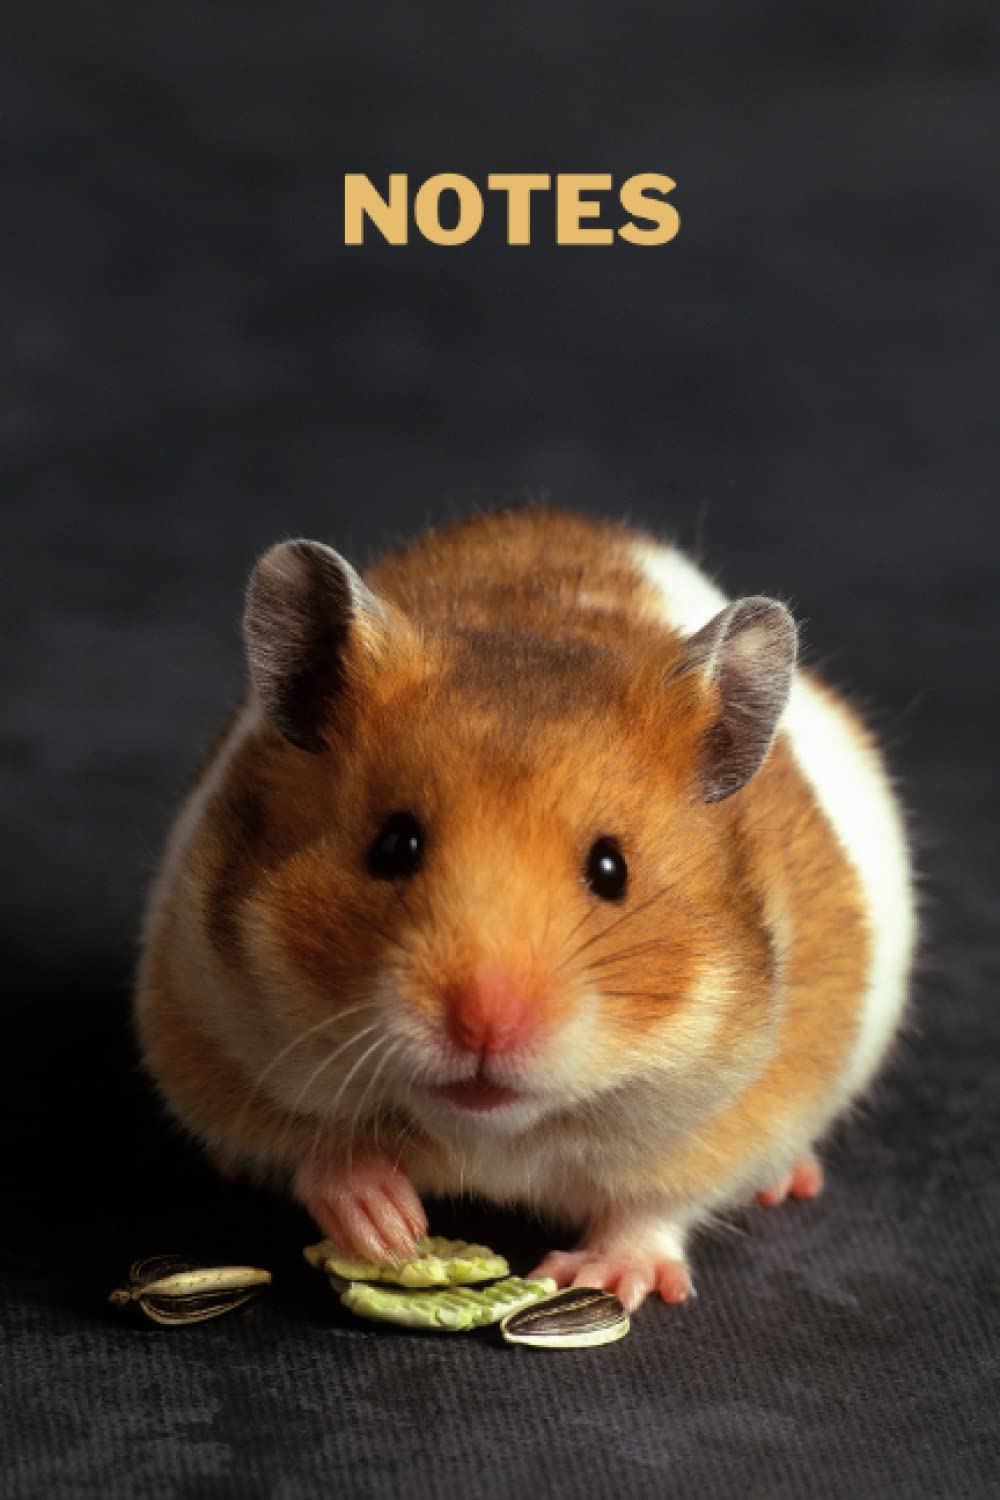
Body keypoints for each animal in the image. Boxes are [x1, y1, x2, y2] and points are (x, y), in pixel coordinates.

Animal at [135, 507, 916, 1311]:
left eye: (611, 869)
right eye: (394, 844)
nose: (485, 1025)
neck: (492, 1131)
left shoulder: (741, 1109)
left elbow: (655, 1206)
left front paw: (599, 1279)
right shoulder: (203, 1024)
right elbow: (312, 1149)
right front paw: (389, 1228)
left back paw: (788, 1181)